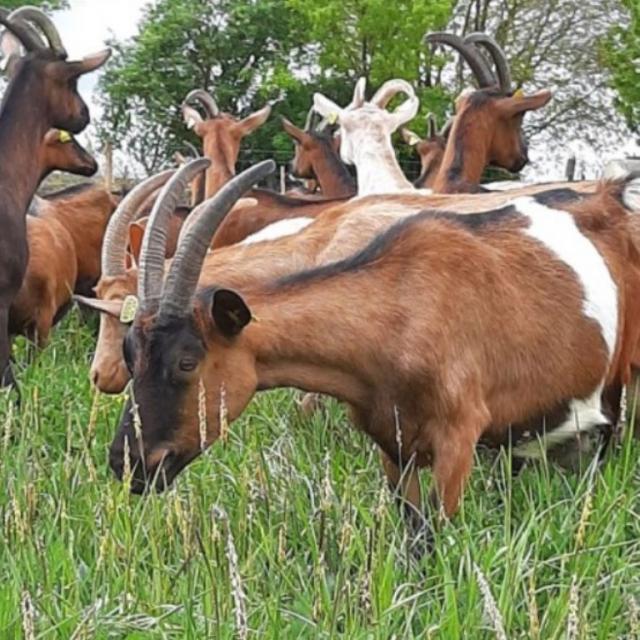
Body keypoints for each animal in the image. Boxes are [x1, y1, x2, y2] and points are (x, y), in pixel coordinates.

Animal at [107, 165, 640, 552]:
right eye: (130, 353)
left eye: (187, 362)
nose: (127, 464)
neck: (402, 309)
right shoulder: (393, 445)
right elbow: (412, 531)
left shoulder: (458, 439)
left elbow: (433, 536)